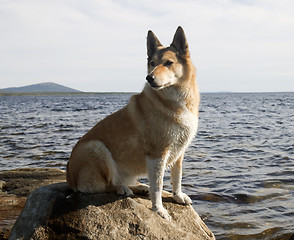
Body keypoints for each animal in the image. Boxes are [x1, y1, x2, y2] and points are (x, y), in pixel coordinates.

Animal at [66, 25, 200, 219]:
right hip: (96, 148)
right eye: (152, 63)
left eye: (168, 63)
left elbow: (177, 177)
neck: (173, 100)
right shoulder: (157, 155)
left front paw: (178, 196)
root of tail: (69, 177)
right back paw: (122, 189)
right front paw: (159, 209)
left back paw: (139, 187)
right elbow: (158, 186)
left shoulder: (179, 152)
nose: (149, 78)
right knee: (103, 185)